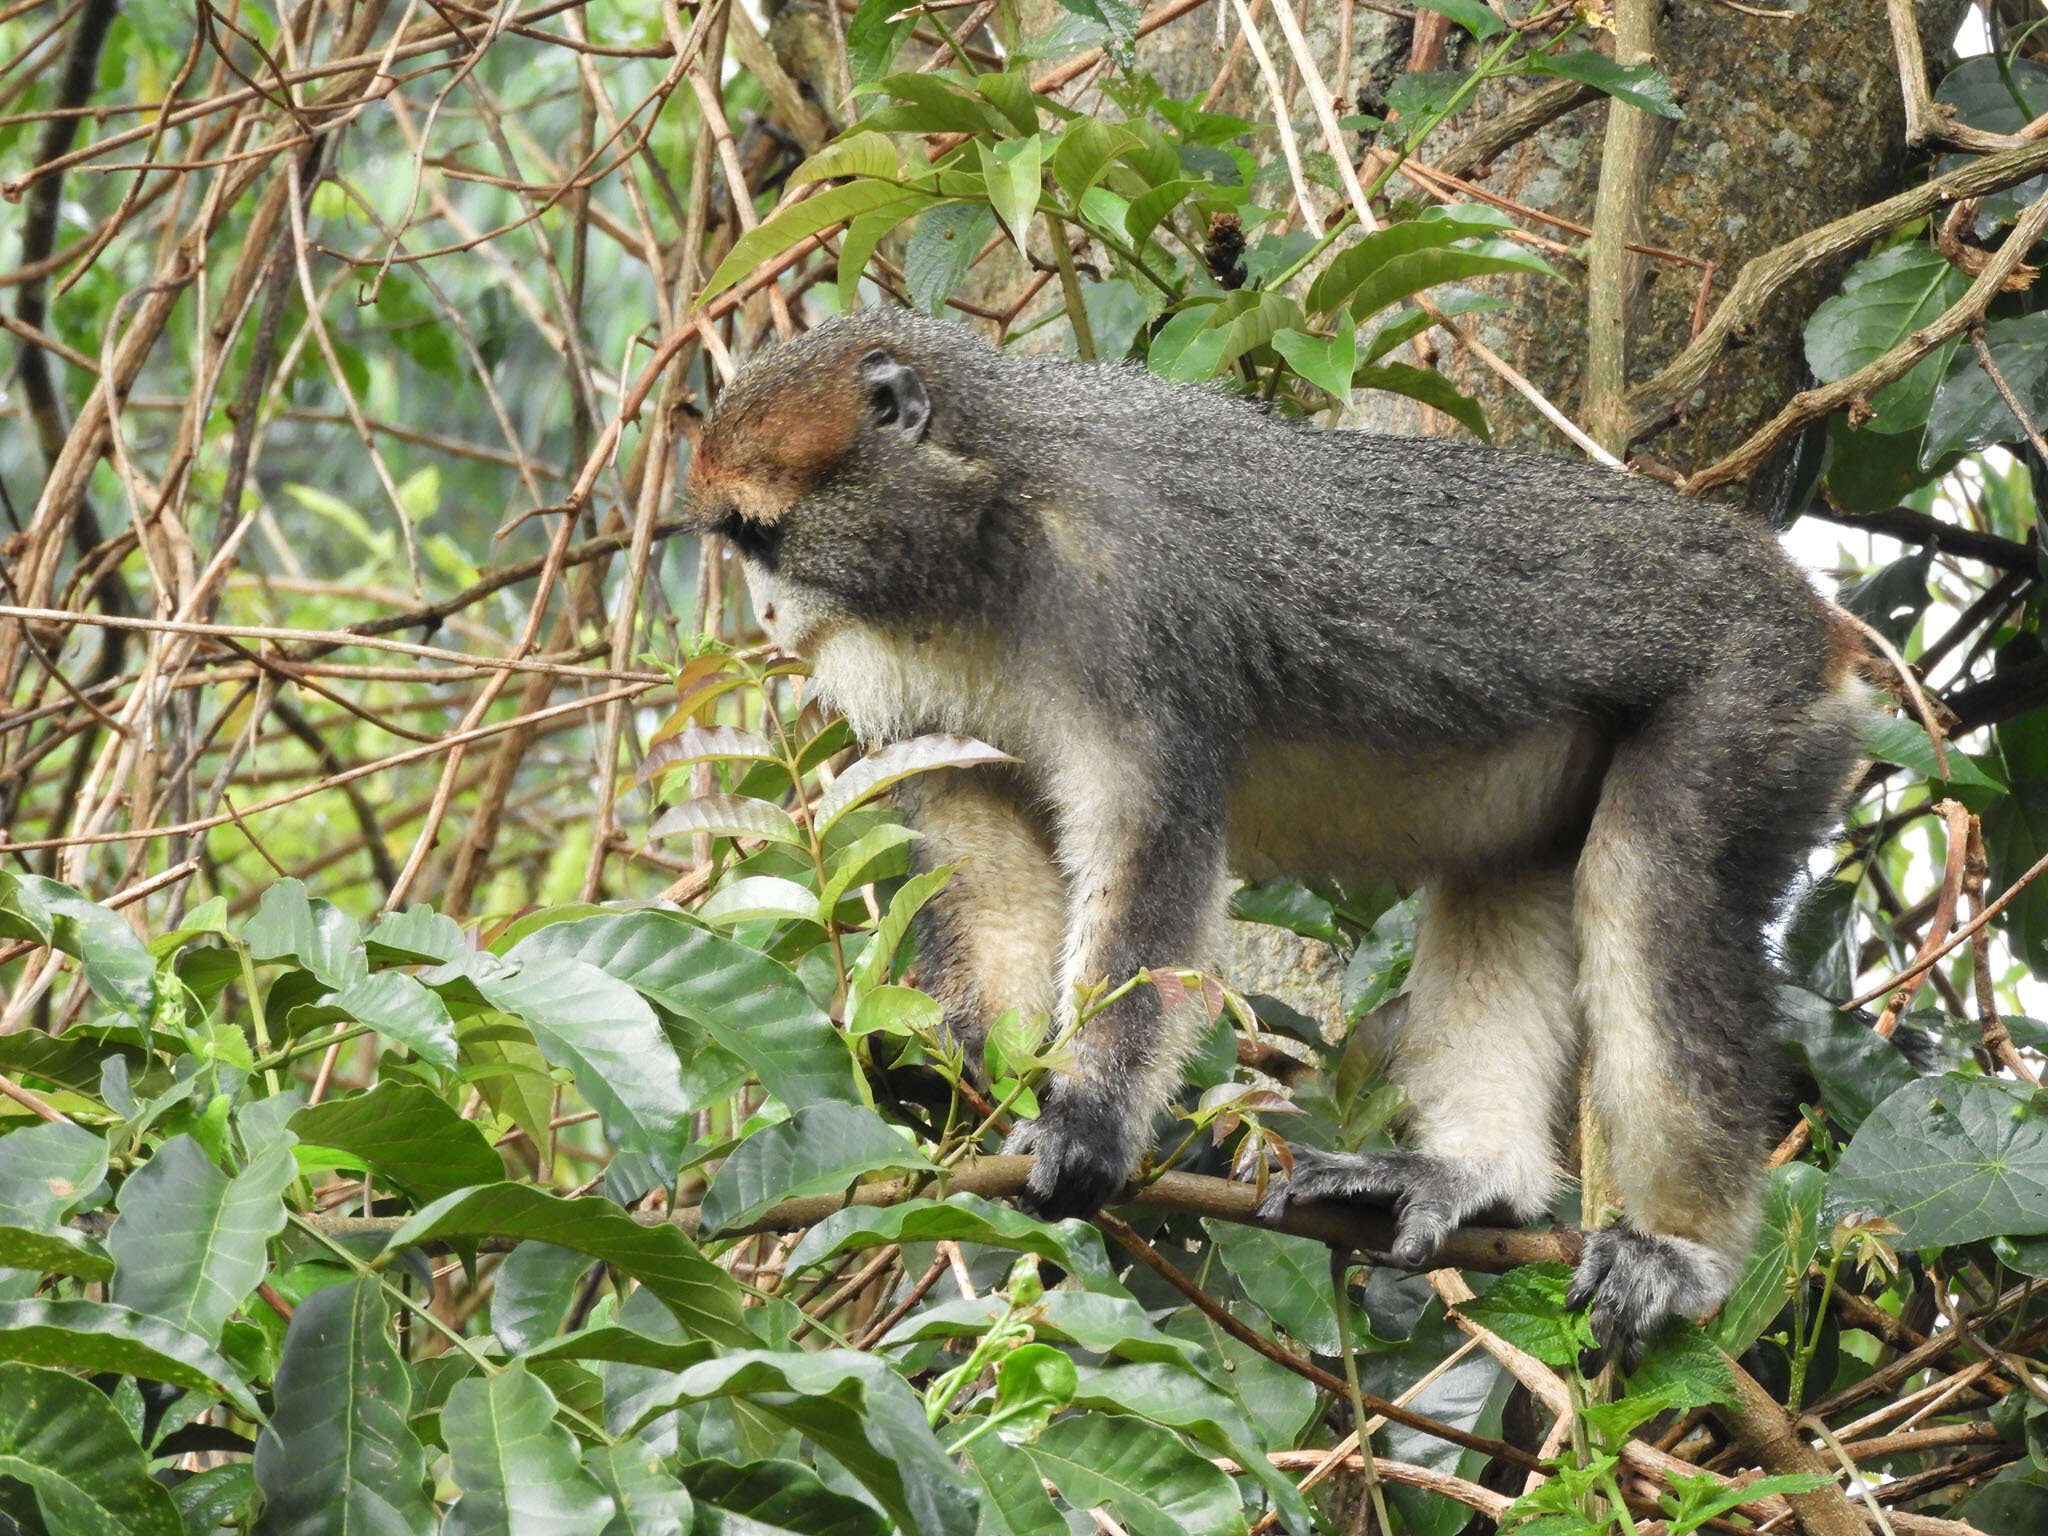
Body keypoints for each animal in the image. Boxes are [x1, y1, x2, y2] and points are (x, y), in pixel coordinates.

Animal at [684, 307, 1875, 1368]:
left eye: (761, 538)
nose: (765, 619)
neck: (988, 523)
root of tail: (1806, 611)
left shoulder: (1136, 600)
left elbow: (1151, 850)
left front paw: (1090, 1124)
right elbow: (989, 859)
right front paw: (952, 1074)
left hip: (1749, 696)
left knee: (1651, 879)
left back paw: (1682, 1249)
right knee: (1508, 871)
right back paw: (1472, 1173)